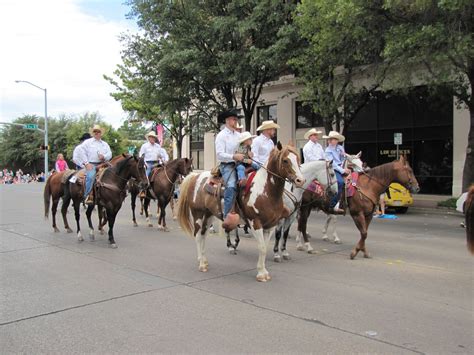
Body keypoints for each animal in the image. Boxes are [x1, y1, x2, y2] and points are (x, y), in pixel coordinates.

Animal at [176, 143, 306, 282]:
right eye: (285, 160)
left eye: (298, 159)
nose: (300, 180)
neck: (265, 191)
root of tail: (195, 176)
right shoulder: (255, 223)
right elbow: (262, 247)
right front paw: (261, 274)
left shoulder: (271, 226)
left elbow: (265, 248)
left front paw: (264, 271)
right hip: (198, 214)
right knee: (197, 236)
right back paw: (201, 264)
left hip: (209, 215)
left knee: (203, 235)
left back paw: (204, 261)